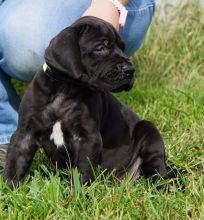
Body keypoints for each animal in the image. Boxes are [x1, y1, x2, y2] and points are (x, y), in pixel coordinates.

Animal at [3, 16, 169, 186]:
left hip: (149, 134)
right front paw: (10, 187)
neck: (65, 88)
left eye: (123, 48)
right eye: (101, 48)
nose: (130, 69)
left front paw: (76, 191)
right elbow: (15, 163)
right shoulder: (25, 134)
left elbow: (82, 171)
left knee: (159, 170)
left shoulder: (88, 138)